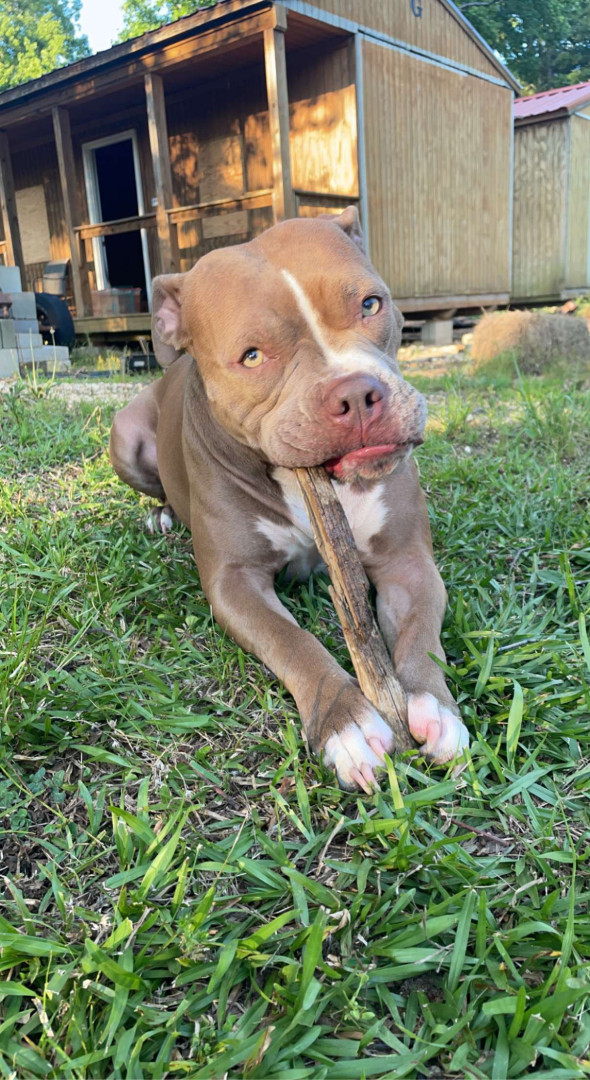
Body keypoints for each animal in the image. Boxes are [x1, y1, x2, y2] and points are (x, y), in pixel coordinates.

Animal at [110, 207, 469, 792]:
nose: (357, 394)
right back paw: (162, 515)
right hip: (124, 435)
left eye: (370, 304)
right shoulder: (235, 581)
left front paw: (434, 708)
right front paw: (346, 722)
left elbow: (419, 635)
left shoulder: (407, 562)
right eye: (252, 357)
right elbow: (293, 642)